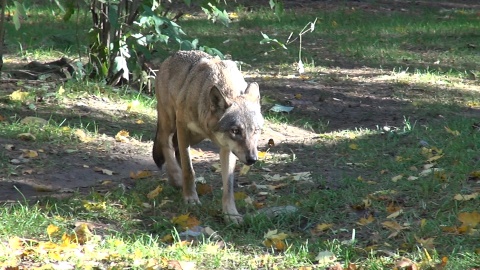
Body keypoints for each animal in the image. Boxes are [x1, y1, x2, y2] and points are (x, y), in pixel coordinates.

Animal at [153, 50, 262, 224]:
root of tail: (172, 55)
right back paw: (176, 178)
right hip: (170, 122)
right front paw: (190, 198)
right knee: (166, 142)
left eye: (256, 130)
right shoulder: (182, 127)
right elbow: (189, 170)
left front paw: (231, 214)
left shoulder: (227, 148)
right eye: (235, 131)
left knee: (175, 147)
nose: (252, 159)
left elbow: (228, 185)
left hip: (194, 137)